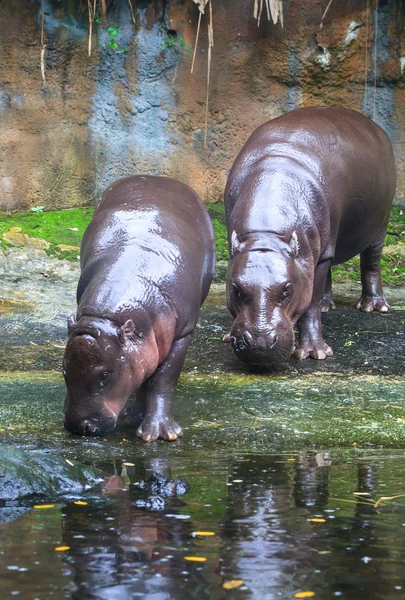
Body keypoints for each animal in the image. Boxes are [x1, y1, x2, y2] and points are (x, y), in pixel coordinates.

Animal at [63, 173, 215, 440]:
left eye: (105, 375)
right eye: (63, 370)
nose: (77, 425)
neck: (106, 318)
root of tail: (157, 177)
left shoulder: (182, 334)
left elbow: (162, 380)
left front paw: (160, 433)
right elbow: (144, 371)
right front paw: (135, 417)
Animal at [224, 106, 394, 366]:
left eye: (286, 289)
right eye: (236, 288)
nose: (259, 343)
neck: (266, 236)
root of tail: (375, 127)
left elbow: (310, 304)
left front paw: (316, 353)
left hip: (380, 223)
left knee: (371, 262)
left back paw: (373, 307)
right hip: (326, 242)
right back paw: (327, 306)